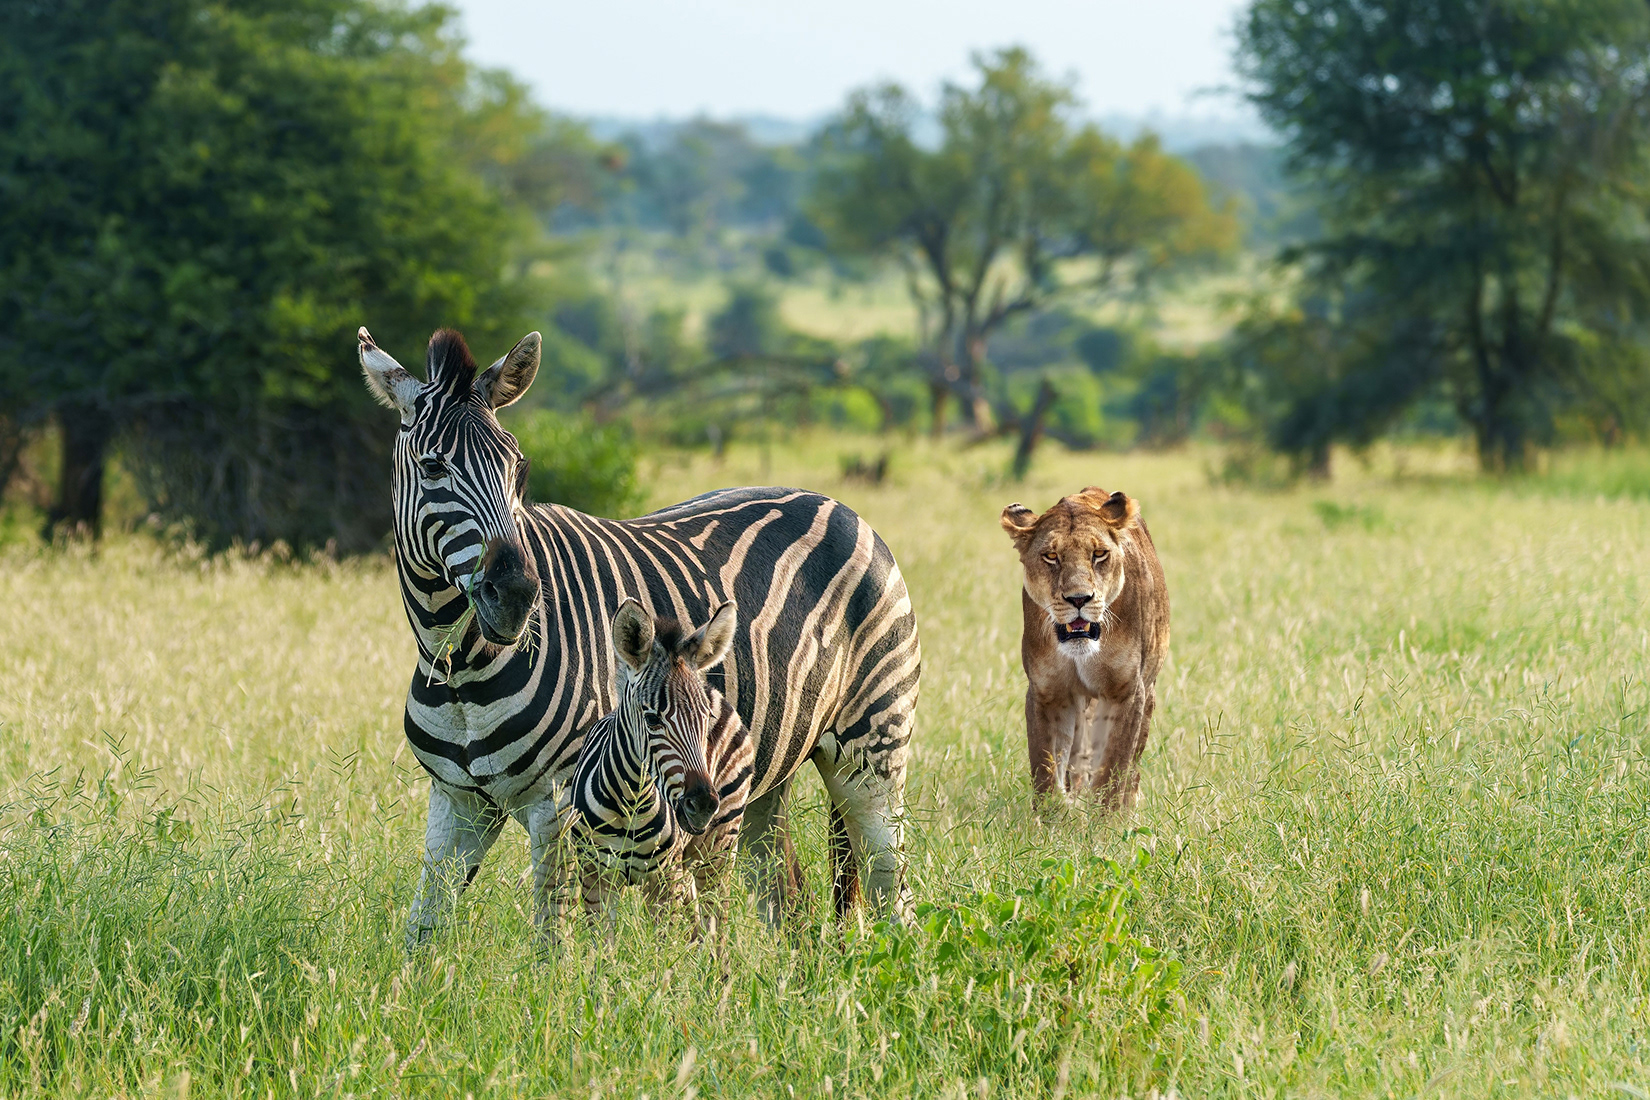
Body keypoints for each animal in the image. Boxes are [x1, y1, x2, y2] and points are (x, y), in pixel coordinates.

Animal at [567, 598, 752, 927]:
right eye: (652, 719)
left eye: (706, 719)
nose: (702, 805)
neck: (629, 804)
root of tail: (715, 691)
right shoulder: (595, 877)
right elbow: (601, 941)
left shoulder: (664, 881)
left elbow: (665, 941)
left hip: (720, 844)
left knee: (715, 920)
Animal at [1000, 487, 1170, 809]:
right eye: (1051, 556)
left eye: (1099, 554)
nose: (1078, 599)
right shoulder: (1047, 693)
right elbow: (1045, 773)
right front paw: (1057, 816)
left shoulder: (1128, 691)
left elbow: (1113, 769)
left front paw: (1107, 819)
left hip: (1148, 692)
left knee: (1132, 764)